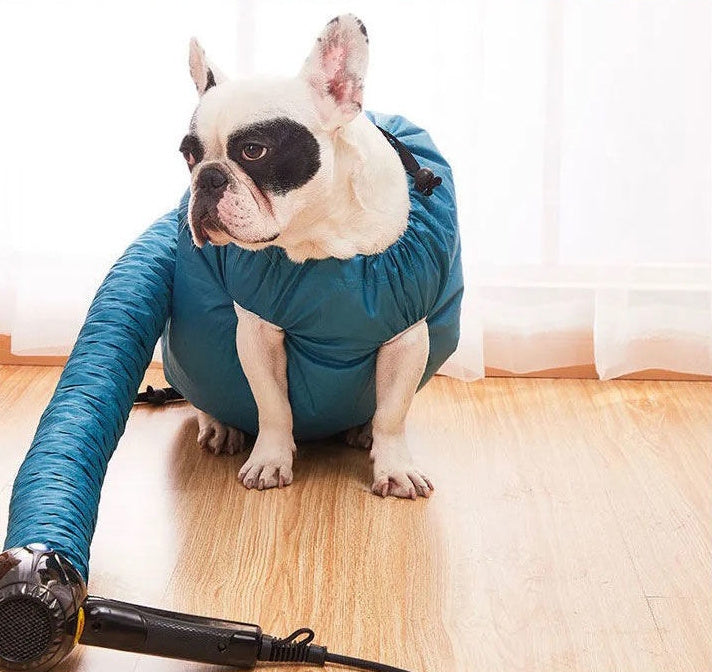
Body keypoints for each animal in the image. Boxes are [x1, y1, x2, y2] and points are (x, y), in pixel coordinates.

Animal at [179, 14, 434, 498]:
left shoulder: (408, 336)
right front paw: (270, 459)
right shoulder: (257, 332)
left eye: (254, 151)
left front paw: (394, 465)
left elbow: (393, 411)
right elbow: (272, 404)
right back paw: (219, 425)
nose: (207, 177)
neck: (319, 235)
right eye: (188, 155)